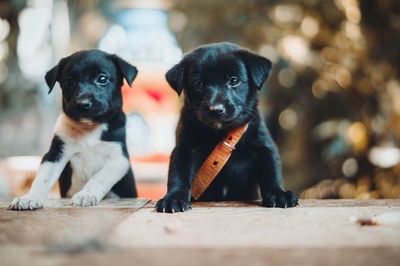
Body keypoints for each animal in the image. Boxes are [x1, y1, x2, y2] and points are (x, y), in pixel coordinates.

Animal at [9, 48, 138, 209]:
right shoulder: (55, 154)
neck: (89, 128)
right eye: (68, 81)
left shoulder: (118, 159)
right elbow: (42, 178)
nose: (83, 104)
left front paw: (86, 195)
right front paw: (29, 198)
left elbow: (99, 177)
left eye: (102, 79)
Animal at [155, 42, 296, 213]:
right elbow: (178, 173)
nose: (216, 109)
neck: (220, 132)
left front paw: (279, 194)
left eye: (234, 80)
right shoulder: (185, 148)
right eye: (199, 84)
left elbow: (271, 172)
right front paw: (174, 198)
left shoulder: (264, 147)